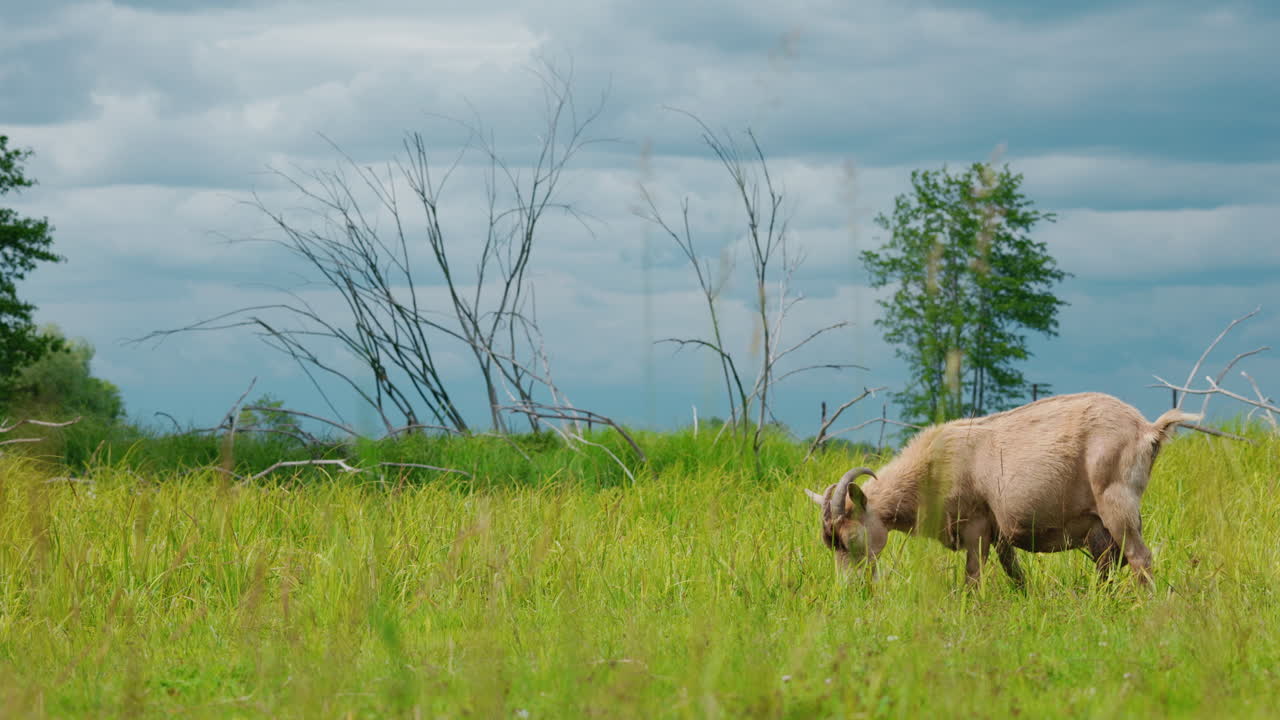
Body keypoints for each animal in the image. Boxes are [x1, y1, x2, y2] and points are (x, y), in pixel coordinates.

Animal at [804, 392, 1198, 587]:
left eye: (849, 539)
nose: (850, 589)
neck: (932, 465)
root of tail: (1148, 429)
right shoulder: (1000, 531)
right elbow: (1015, 572)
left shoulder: (976, 525)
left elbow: (973, 576)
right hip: (1100, 521)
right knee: (1109, 562)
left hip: (1117, 501)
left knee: (1139, 557)